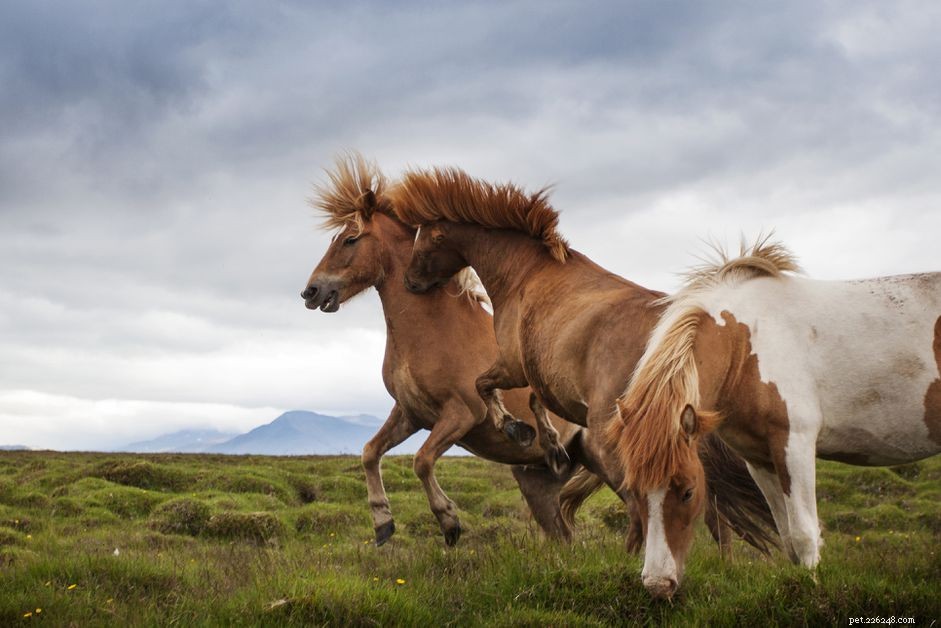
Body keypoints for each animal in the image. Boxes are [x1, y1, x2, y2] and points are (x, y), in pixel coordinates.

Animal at [300, 154, 590, 546]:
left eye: (349, 239)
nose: (311, 292)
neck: (433, 330)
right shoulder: (410, 413)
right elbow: (369, 453)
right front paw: (382, 523)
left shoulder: (461, 414)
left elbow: (421, 461)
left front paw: (449, 521)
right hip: (538, 479)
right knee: (564, 535)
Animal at [389, 166, 779, 562]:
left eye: (424, 241)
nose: (410, 282)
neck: (526, 273)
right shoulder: (542, 373)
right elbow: (534, 400)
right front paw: (550, 446)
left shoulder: (513, 364)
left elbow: (484, 385)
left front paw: (517, 429)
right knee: (706, 507)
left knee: (641, 504)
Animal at [607, 235, 941, 598]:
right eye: (633, 490)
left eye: (688, 492)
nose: (658, 584)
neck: (747, 344)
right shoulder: (759, 458)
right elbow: (788, 538)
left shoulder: (794, 445)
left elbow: (804, 534)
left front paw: (812, 592)